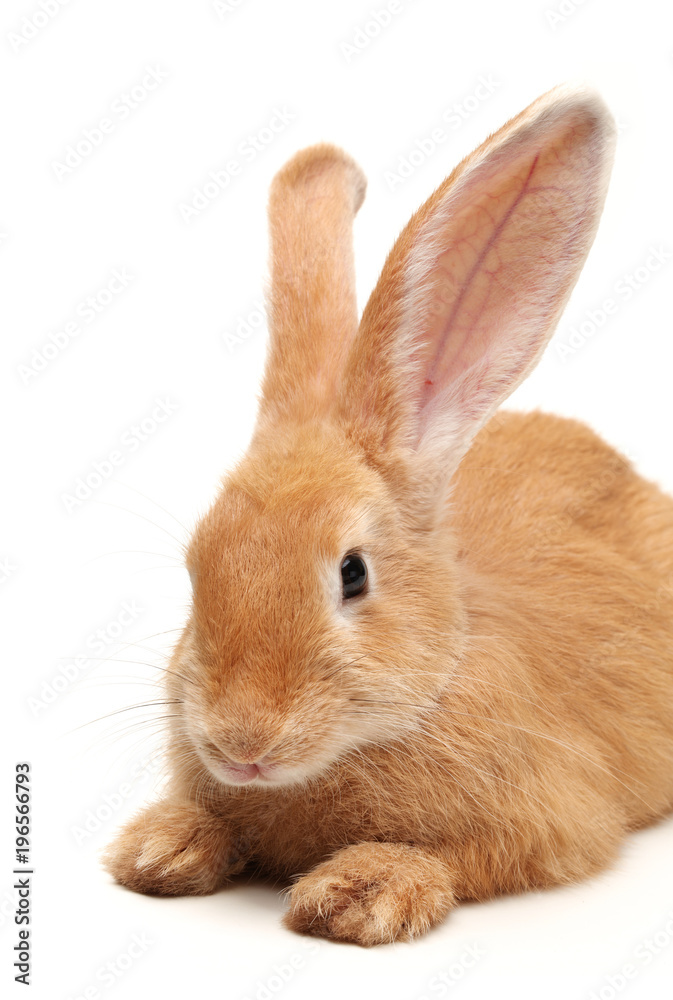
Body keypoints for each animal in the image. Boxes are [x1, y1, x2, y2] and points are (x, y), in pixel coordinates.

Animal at [103, 84, 673, 947]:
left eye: (352, 575)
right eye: (197, 568)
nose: (241, 744)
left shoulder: (551, 819)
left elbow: (460, 857)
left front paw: (356, 891)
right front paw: (158, 848)